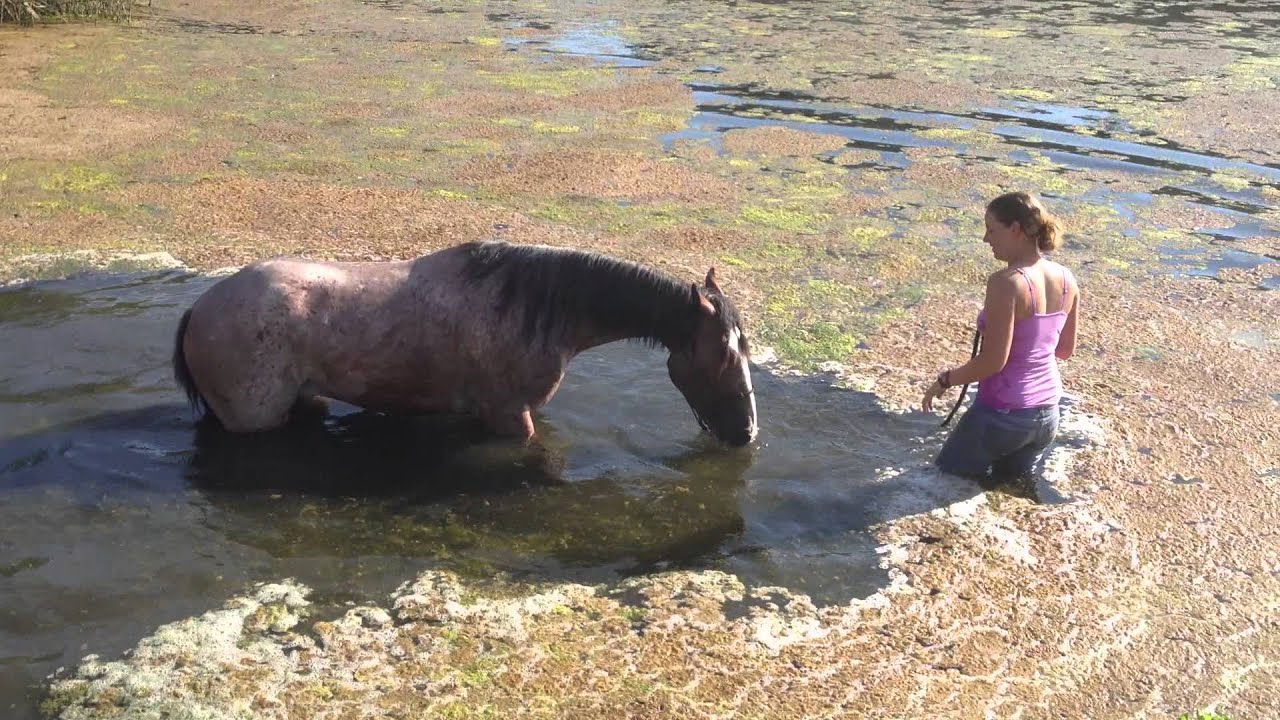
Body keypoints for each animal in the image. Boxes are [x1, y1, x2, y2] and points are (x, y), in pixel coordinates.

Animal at [172, 240, 758, 446]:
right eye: (724, 355)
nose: (747, 432)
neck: (541, 309)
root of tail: (201, 307)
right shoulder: (509, 414)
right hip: (255, 418)